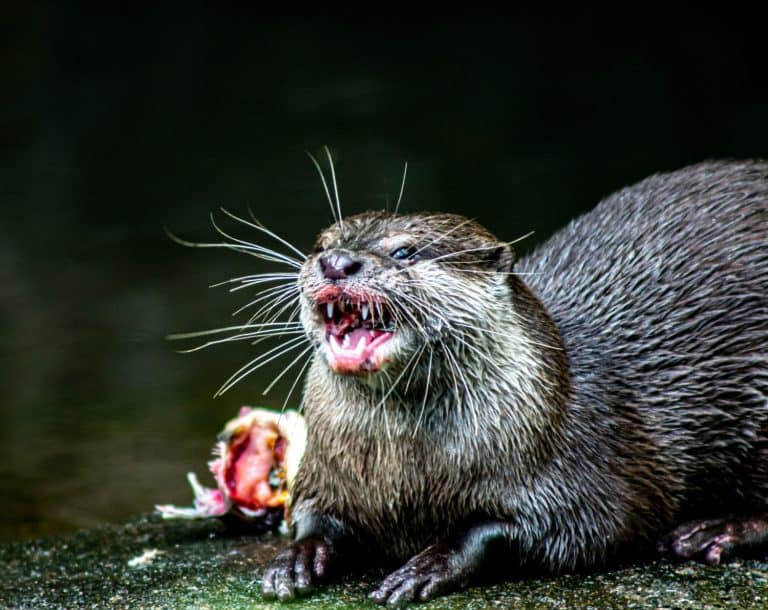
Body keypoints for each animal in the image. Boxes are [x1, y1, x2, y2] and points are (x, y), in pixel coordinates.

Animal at [256, 160, 768, 606]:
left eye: (404, 251)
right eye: (322, 243)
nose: (337, 262)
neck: (409, 478)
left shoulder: (587, 473)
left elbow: (554, 530)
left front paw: (428, 564)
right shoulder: (326, 472)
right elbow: (311, 517)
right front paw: (295, 559)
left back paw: (716, 529)